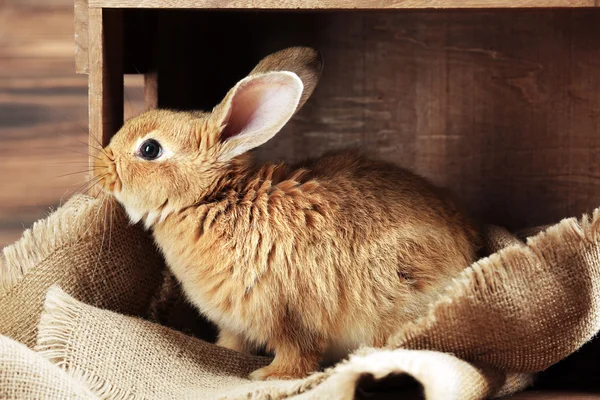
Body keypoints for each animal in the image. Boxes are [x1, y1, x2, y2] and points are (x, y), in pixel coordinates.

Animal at [92, 47, 478, 382]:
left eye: (150, 149)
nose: (100, 165)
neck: (213, 199)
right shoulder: (236, 323)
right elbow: (233, 342)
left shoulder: (289, 315)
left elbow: (298, 353)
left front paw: (268, 376)